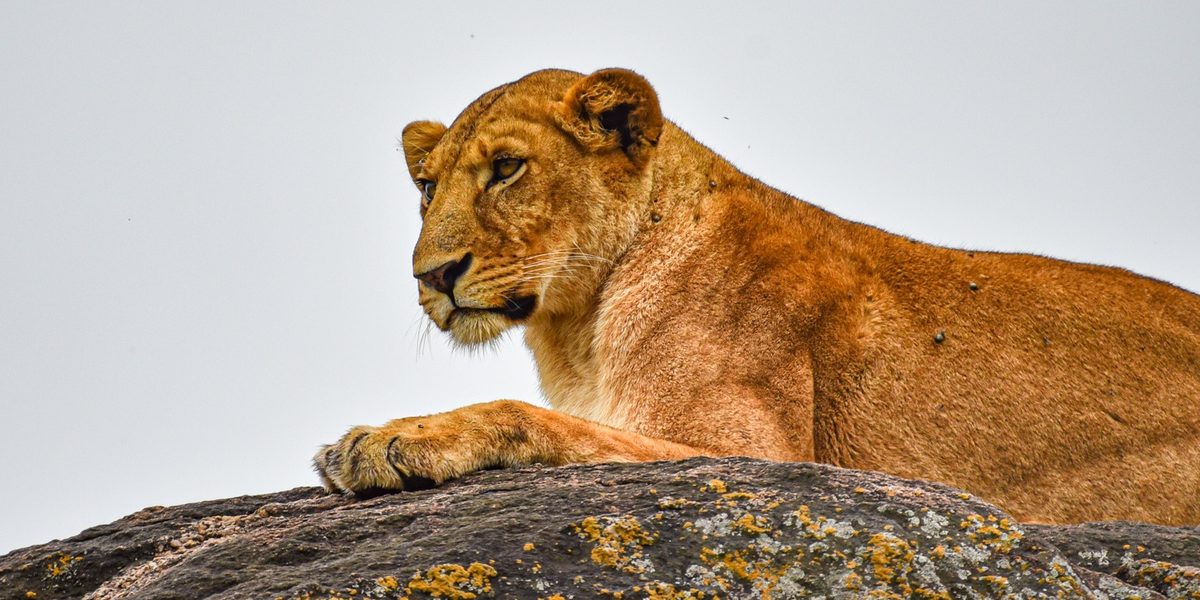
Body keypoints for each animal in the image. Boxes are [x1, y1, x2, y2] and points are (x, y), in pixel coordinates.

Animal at [314, 68, 1200, 525]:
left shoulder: (757, 455)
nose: (432, 275)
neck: (579, 329)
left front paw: (382, 441)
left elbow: (529, 417)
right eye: (426, 187)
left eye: (506, 168)